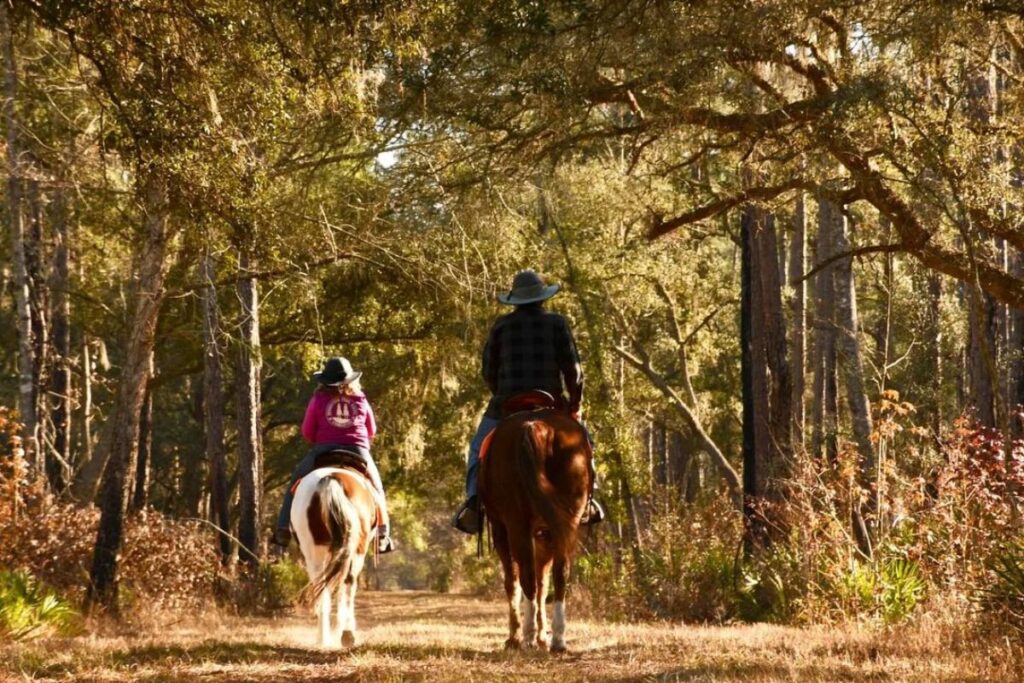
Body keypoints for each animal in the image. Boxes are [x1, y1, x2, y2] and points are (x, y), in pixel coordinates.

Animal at [290, 456, 378, 651]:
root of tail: (330, 478)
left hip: (314, 550)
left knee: (321, 584)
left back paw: (323, 637)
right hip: (356, 549)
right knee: (348, 583)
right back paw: (346, 634)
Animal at [479, 403, 593, 655]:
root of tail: (538, 427)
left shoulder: (501, 528)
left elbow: (514, 581)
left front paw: (516, 637)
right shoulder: (546, 533)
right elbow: (544, 582)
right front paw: (542, 636)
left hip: (516, 523)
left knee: (526, 577)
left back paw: (528, 636)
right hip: (566, 520)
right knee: (560, 573)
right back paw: (557, 639)